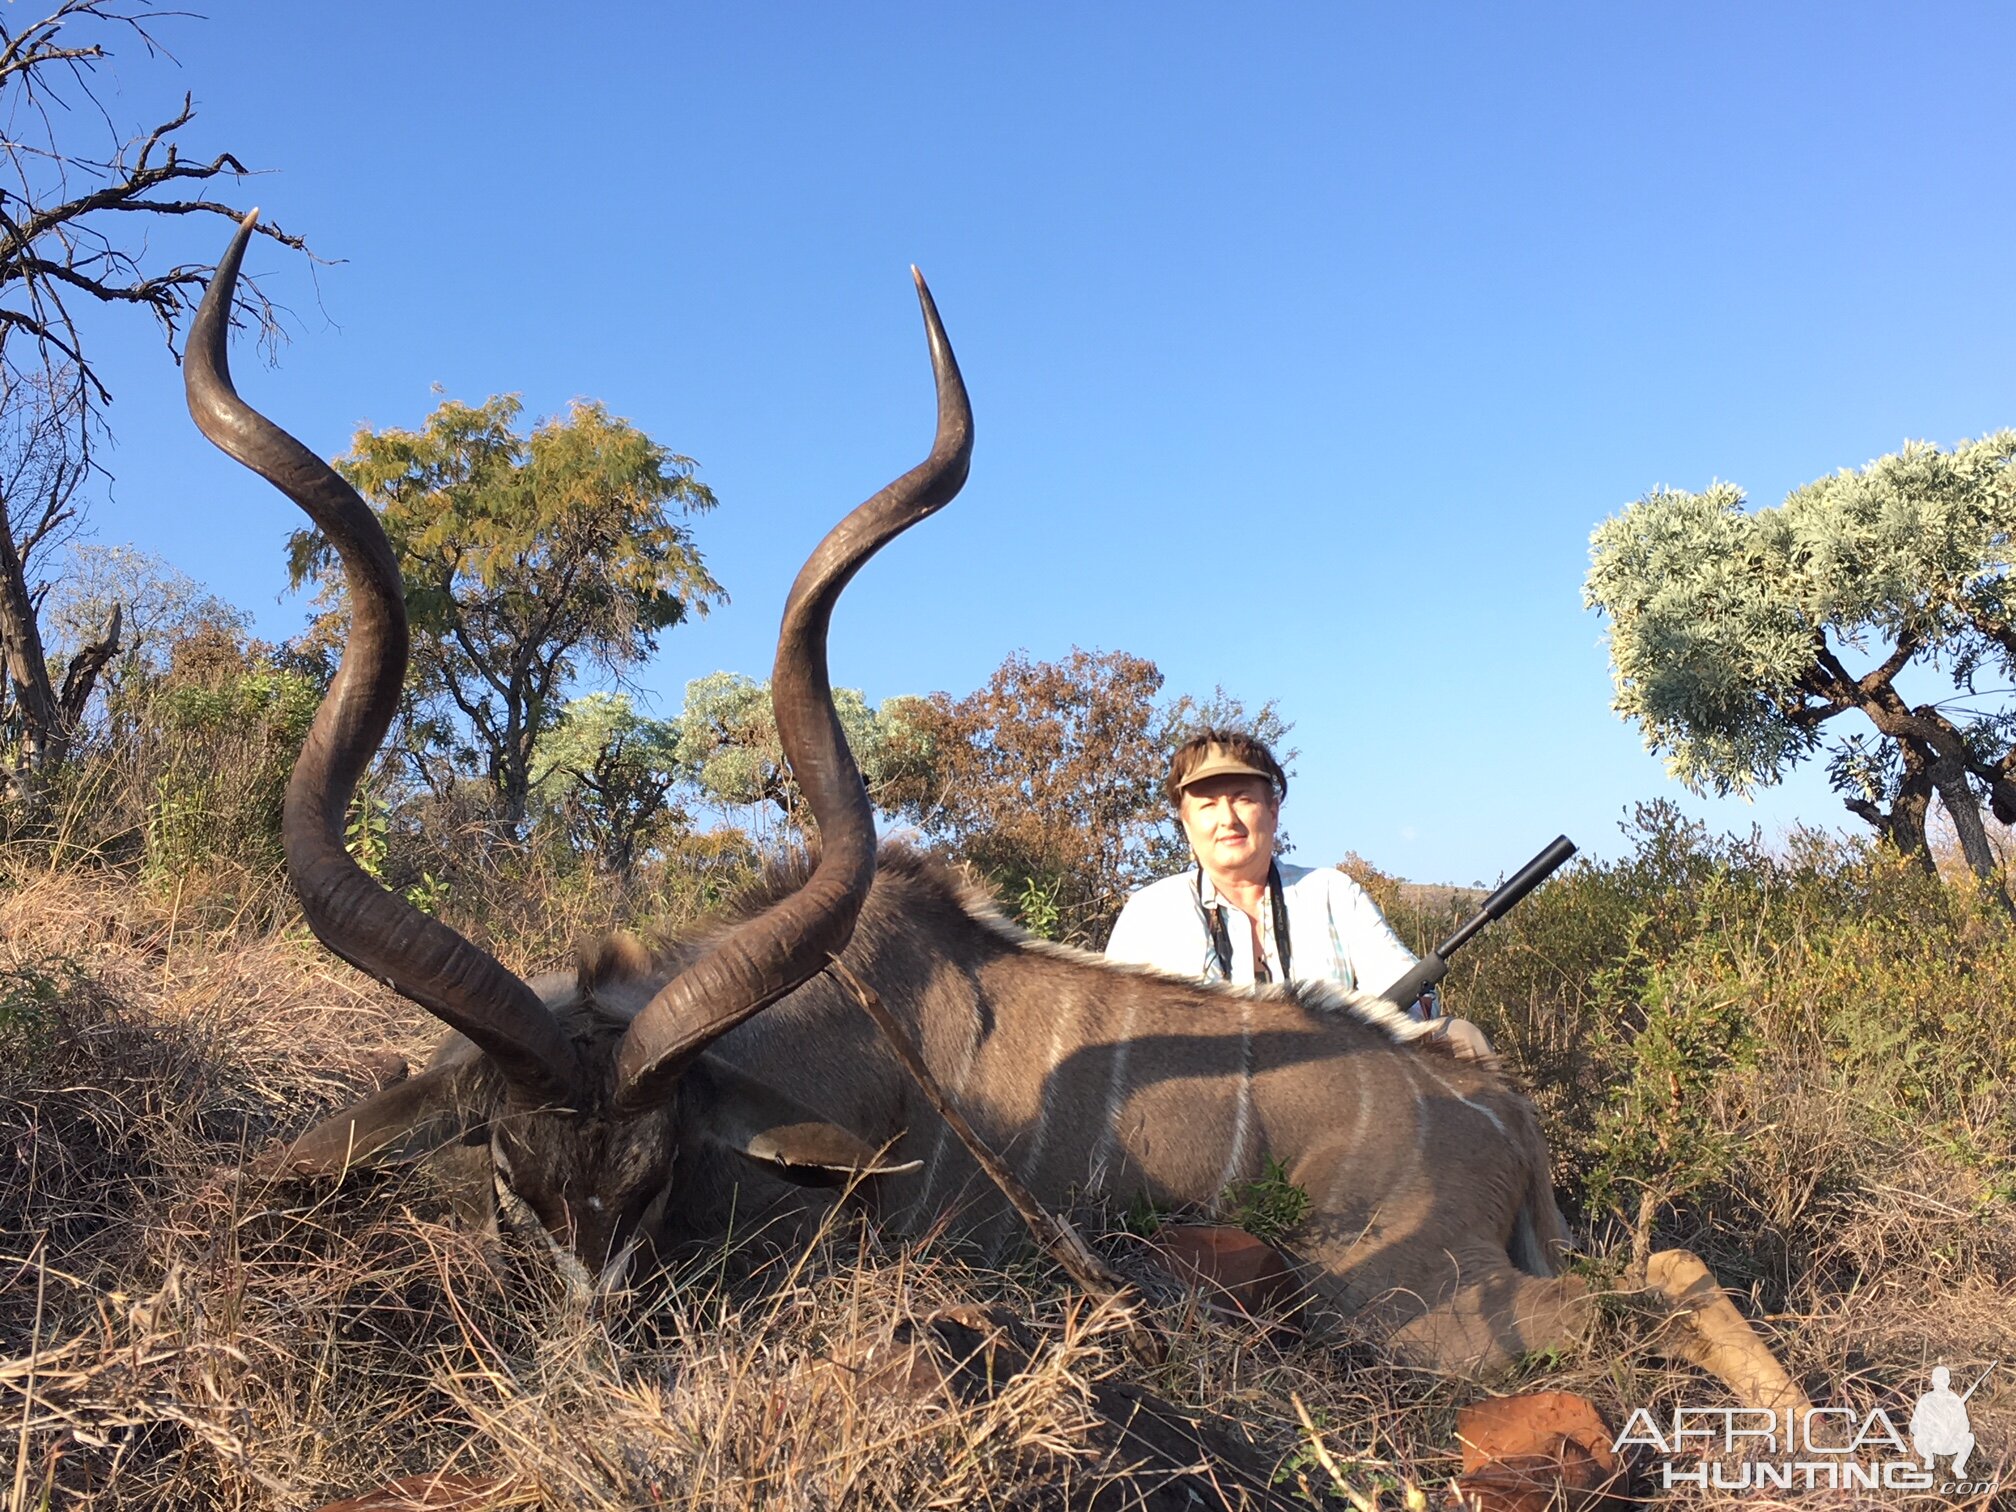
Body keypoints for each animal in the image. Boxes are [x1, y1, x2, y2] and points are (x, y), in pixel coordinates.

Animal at [196, 215, 1806, 1419]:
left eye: (655, 1177)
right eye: (512, 1175)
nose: (597, 1363)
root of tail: (1495, 1108)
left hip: (1421, 1310)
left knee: (1650, 1289)